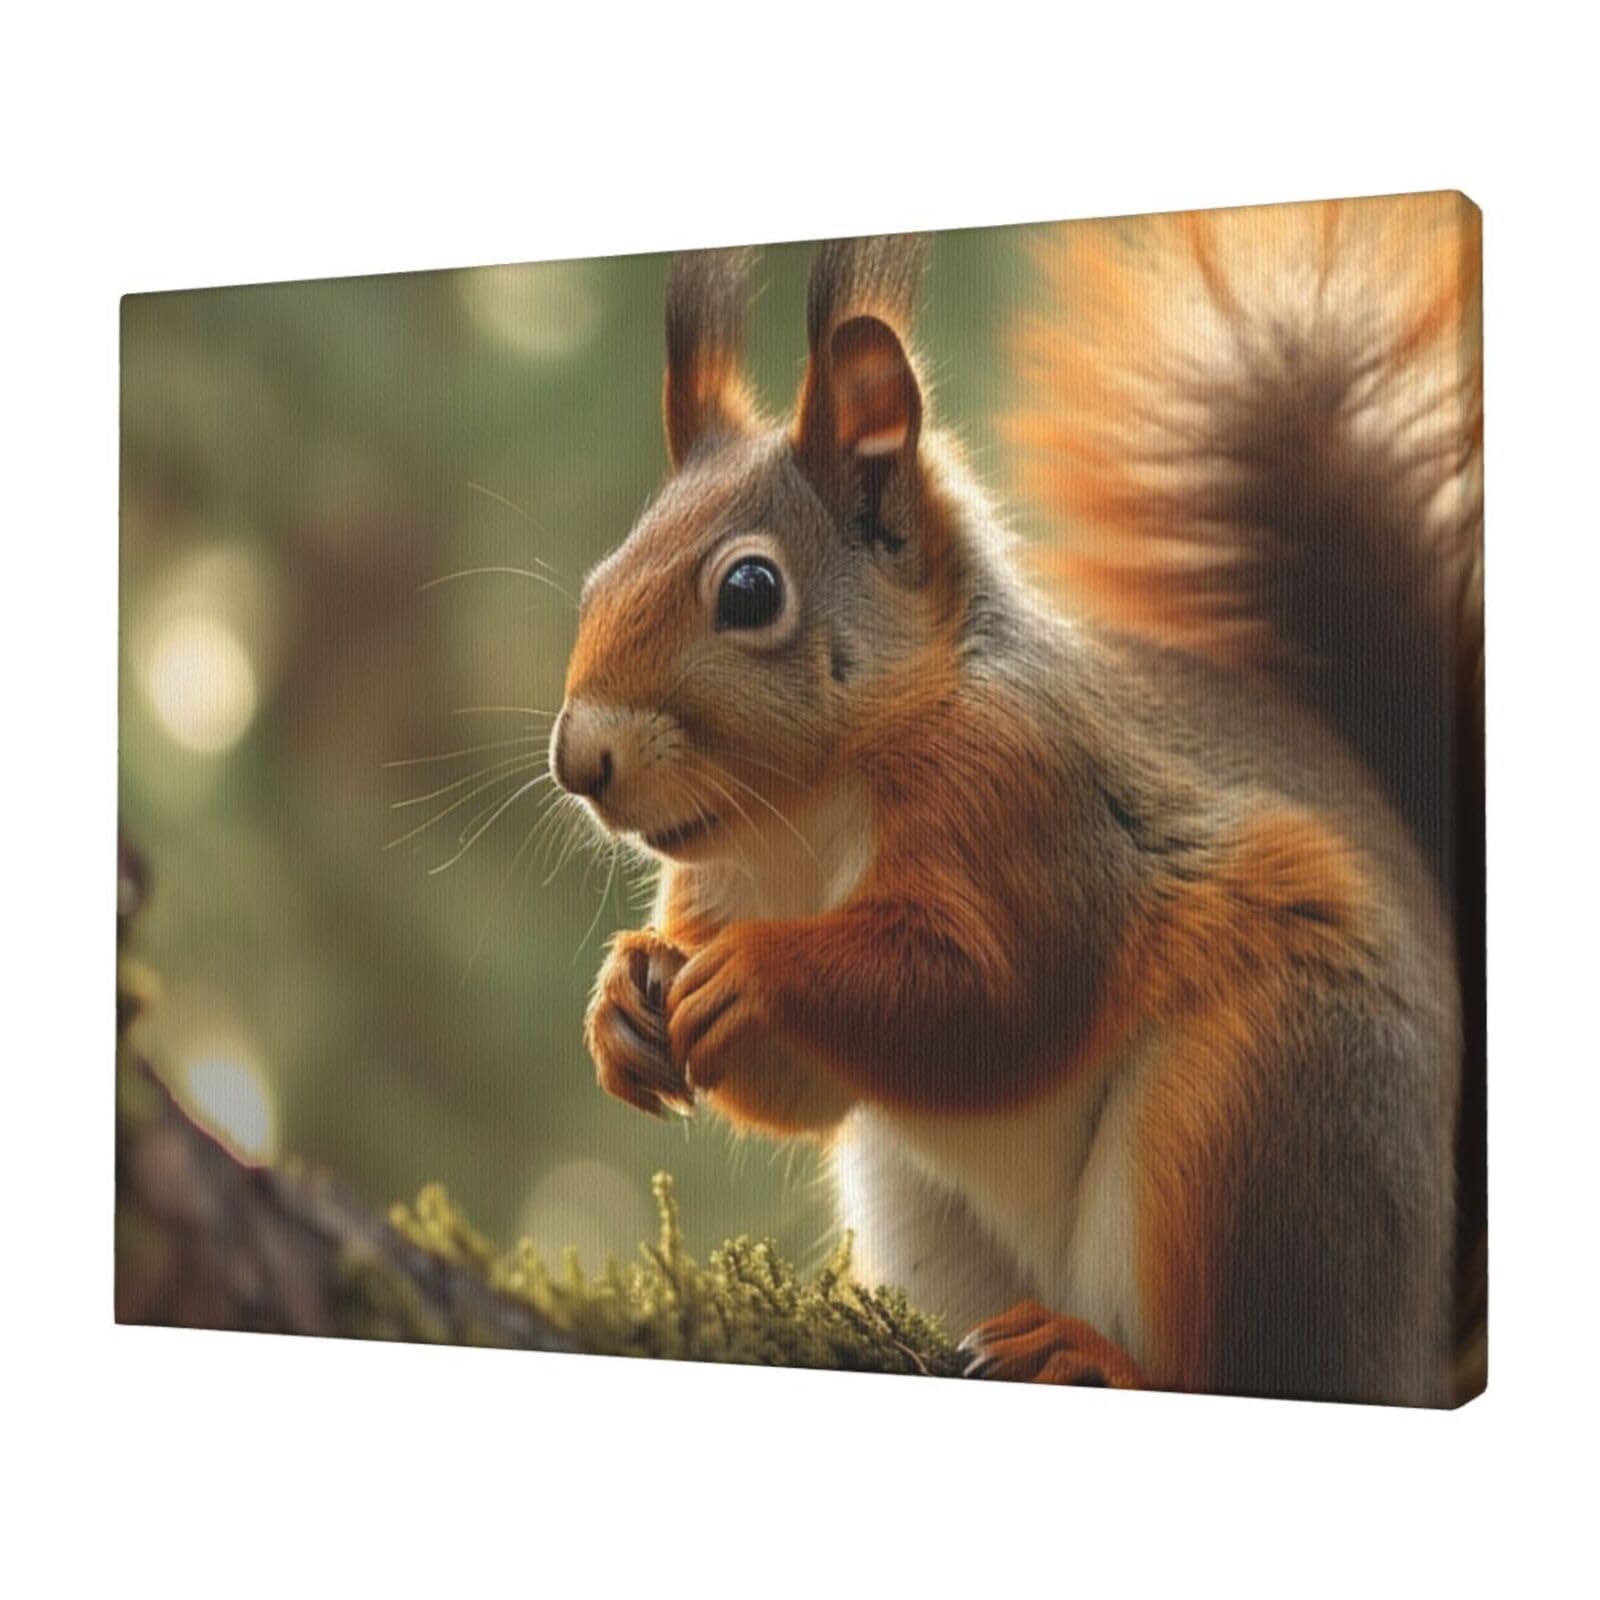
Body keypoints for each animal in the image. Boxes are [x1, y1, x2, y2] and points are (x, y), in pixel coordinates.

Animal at [550, 193, 1484, 1406]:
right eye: (597, 582)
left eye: (749, 590)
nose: (579, 761)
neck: (809, 815)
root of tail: (1409, 1343)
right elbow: (805, 1089)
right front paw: (625, 999)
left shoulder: (1031, 801)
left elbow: (990, 991)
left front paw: (755, 972)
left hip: (1253, 1110)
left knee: (1227, 1361)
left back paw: (1094, 1358)